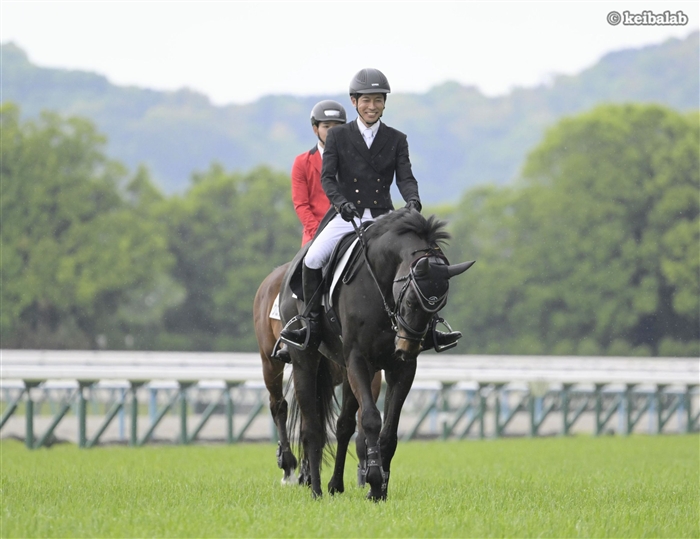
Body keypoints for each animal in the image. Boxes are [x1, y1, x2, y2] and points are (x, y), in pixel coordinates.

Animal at [278, 208, 474, 500]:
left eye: (439, 304)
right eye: (411, 301)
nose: (406, 347)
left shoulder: (400, 369)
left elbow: (389, 431)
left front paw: (379, 488)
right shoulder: (359, 360)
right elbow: (371, 419)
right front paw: (372, 479)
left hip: (347, 369)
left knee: (344, 425)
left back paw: (335, 485)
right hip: (306, 360)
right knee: (312, 428)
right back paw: (316, 490)